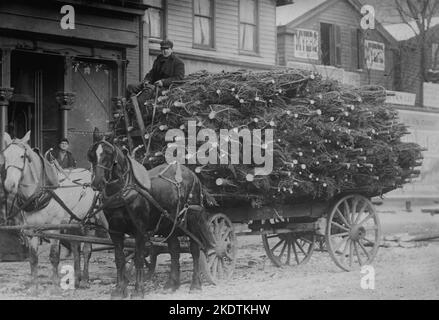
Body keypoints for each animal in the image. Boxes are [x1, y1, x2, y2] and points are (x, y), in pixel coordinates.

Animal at [1, 131, 105, 294]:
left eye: (22, 156)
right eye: (5, 156)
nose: (9, 185)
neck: (41, 193)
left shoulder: (54, 228)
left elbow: (54, 256)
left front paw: (55, 284)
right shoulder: (31, 229)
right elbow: (33, 257)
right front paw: (34, 285)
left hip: (90, 222)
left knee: (87, 250)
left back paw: (85, 281)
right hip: (74, 223)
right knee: (76, 248)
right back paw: (76, 278)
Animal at [87, 136, 215, 298]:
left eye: (109, 155)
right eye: (92, 155)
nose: (97, 182)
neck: (123, 192)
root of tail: (193, 176)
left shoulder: (139, 230)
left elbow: (139, 259)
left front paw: (138, 290)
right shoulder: (115, 231)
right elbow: (119, 259)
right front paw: (119, 289)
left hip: (192, 219)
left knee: (195, 249)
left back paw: (195, 284)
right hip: (169, 223)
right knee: (174, 249)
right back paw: (171, 284)